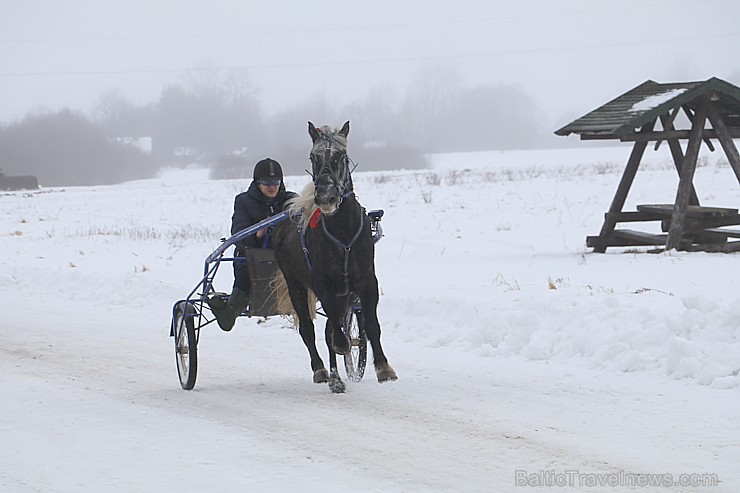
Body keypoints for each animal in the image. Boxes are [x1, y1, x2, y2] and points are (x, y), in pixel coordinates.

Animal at [272, 120, 398, 392]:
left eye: (341, 156)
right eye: (313, 157)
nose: (326, 197)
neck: (342, 233)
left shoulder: (366, 281)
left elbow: (371, 326)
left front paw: (384, 368)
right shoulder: (322, 283)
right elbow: (334, 336)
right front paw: (343, 347)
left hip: (342, 295)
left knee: (330, 327)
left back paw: (336, 377)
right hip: (296, 284)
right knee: (310, 330)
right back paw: (324, 372)